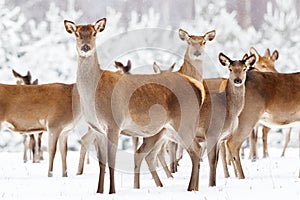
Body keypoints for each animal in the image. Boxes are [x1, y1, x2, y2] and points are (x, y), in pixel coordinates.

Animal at [65, 18, 206, 194]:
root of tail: (198, 87)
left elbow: (112, 161)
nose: (86, 47)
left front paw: (112, 191)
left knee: (195, 151)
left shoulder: (114, 124)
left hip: (185, 120)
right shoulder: (97, 128)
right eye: (77, 34)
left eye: (94, 33)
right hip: (173, 127)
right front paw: (99, 191)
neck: (92, 97)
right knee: (193, 150)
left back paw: (190, 189)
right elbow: (102, 163)